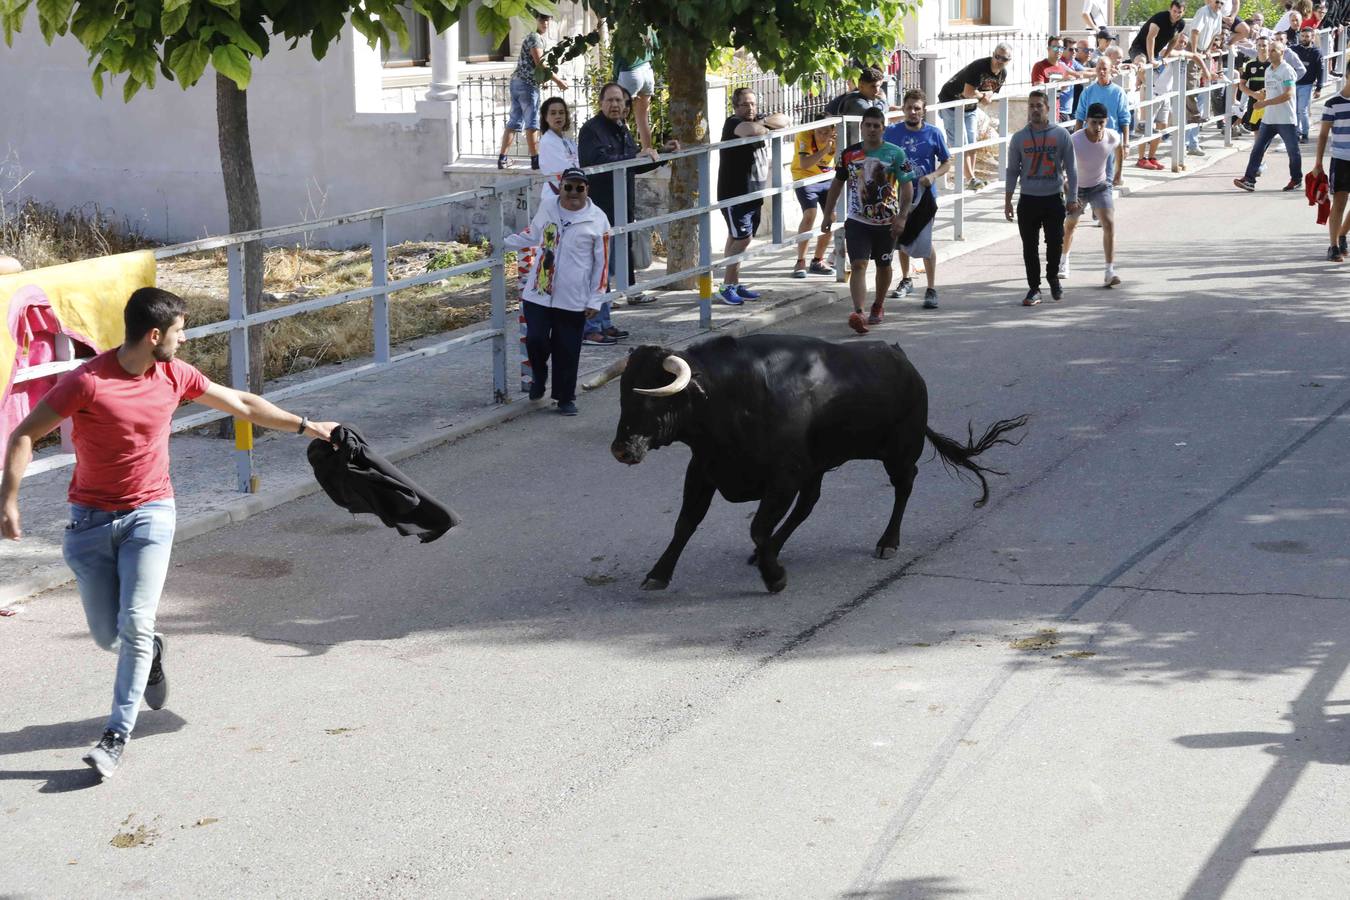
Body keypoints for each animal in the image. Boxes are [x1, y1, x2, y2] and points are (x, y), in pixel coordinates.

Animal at [607, 334, 1026, 593]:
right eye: (624, 396)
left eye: (651, 398)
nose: (621, 450)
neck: (726, 398)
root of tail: (902, 359)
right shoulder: (704, 470)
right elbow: (685, 524)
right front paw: (658, 574)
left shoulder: (783, 477)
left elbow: (757, 527)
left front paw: (775, 578)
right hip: (819, 467)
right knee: (808, 506)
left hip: (900, 450)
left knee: (904, 486)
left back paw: (887, 542)